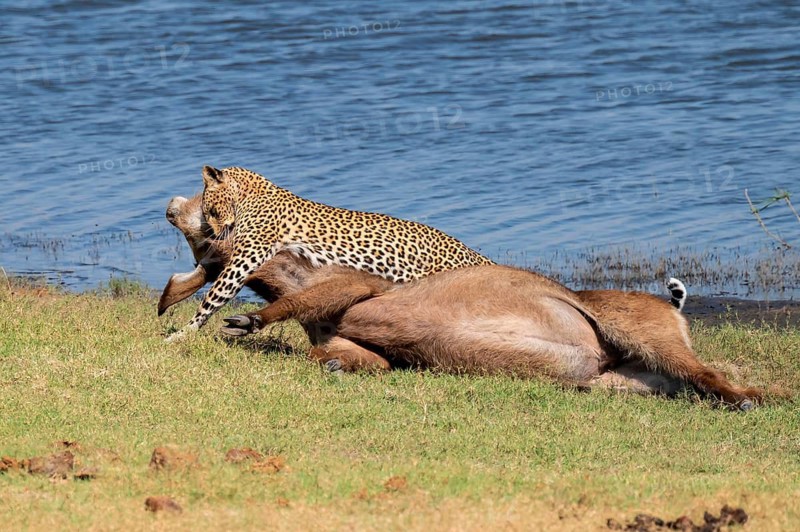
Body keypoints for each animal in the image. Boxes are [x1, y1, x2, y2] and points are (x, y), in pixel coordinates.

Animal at [171, 165, 494, 338]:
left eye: (211, 209)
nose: (213, 233)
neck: (252, 193)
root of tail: (476, 256)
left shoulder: (246, 258)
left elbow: (214, 297)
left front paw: (182, 334)